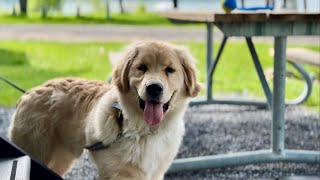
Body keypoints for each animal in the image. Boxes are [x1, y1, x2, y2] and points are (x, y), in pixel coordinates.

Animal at [9, 41, 200, 180]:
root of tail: (27, 94)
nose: (154, 88)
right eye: (141, 67)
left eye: (170, 70)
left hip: (61, 158)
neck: (144, 131)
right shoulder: (116, 173)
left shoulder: (156, 172)